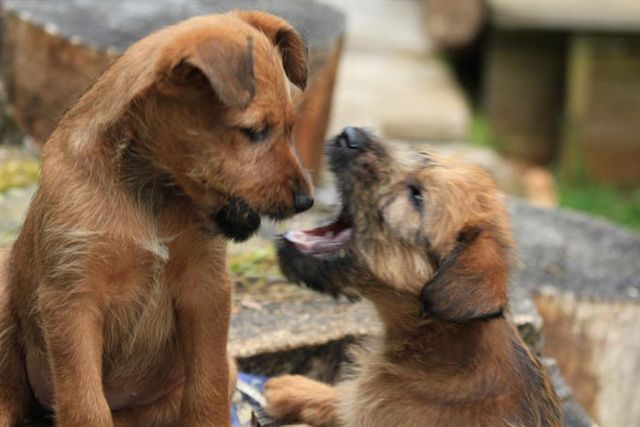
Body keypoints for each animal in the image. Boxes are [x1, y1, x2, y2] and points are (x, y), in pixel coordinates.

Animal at [0, 11, 312, 427]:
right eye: (255, 131)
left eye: (291, 128)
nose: (307, 200)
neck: (150, 194)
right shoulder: (73, 298)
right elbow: (86, 403)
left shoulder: (205, 290)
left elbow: (207, 387)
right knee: (9, 397)